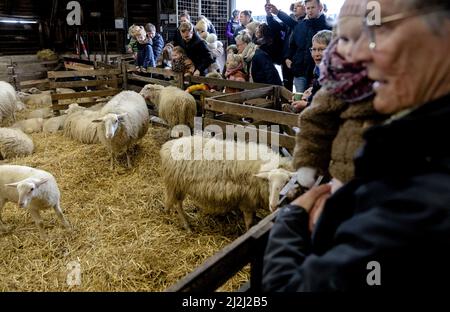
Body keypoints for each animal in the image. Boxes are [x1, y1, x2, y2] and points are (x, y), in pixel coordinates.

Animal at [159, 135, 296, 232]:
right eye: (269, 182)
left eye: (286, 183)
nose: (274, 206)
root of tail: (169, 145)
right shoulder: (247, 201)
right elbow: (249, 223)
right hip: (177, 184)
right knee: (178, 204)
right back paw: (187, 226)